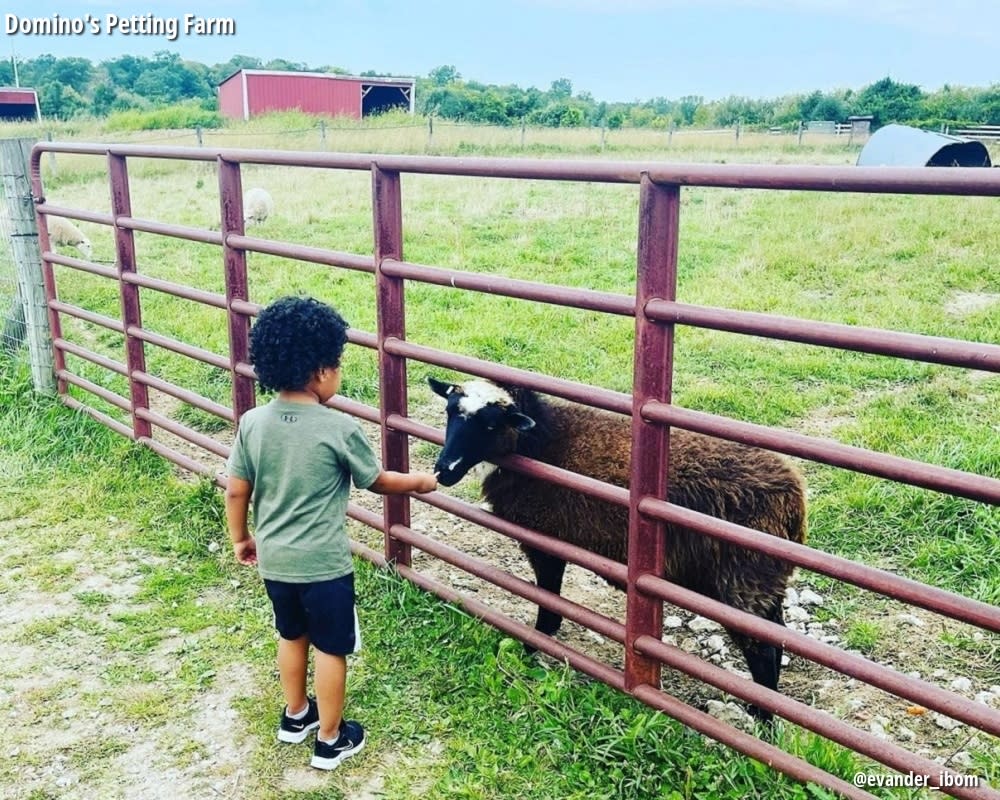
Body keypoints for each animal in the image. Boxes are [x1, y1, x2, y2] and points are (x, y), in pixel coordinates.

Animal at [426, 378, 808, 720]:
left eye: (490, 424)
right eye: (449, 412)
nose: (443, 470)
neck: (541, 443)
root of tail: (793, 498)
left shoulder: (545, 539)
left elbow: (548, 594)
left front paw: (535, 642)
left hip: (742, 578)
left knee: (763, 650)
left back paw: (761, 717)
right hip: (763, 580)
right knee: (776, 636)